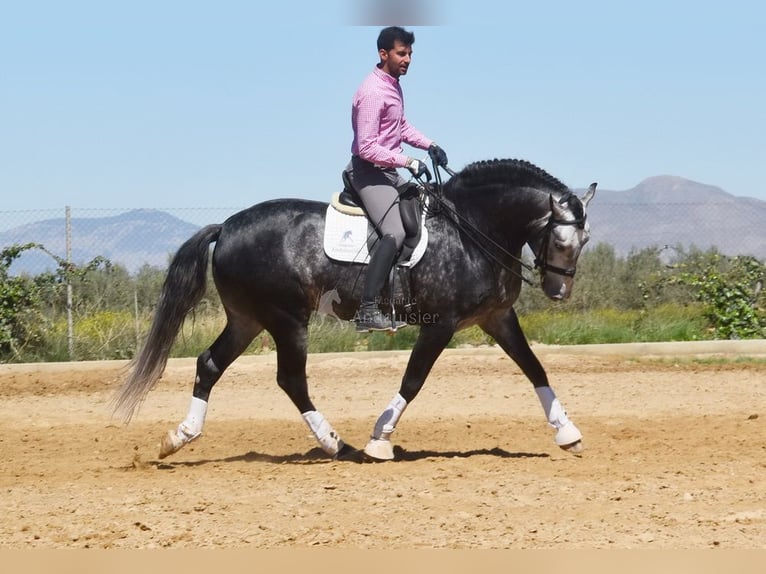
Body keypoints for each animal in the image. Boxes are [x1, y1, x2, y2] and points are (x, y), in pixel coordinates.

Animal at [114, 159, 596, 464]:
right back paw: (337, 445)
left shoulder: (496, 318)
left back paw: (179, 437)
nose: (558, 291)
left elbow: (534, 368)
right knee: (291, 379)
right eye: (561, 240)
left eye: (585, 240)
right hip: (286, 318)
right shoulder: (439, 324)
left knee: (210, 364)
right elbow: (413, 380)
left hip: (247, 319)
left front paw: (568, 433)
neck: (473, 230)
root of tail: (227, 226)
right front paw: (380, 441)